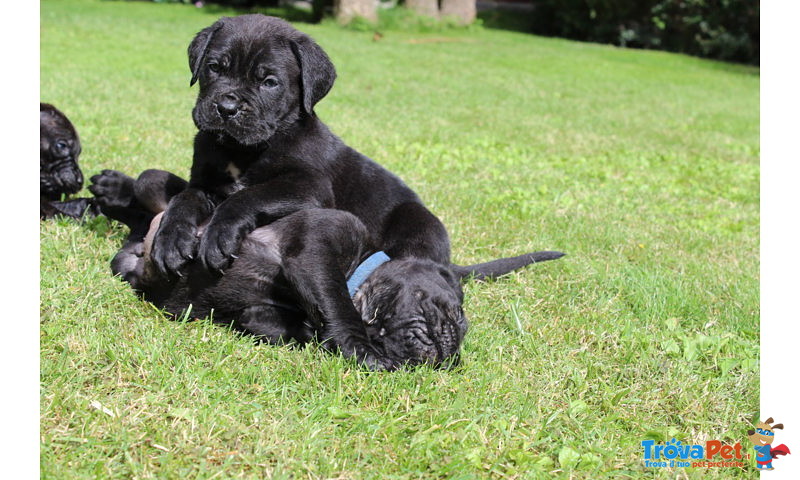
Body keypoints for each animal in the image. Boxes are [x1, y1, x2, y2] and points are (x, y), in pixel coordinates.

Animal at [90, 170, 564, 372]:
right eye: (448, 314)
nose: (444, 352)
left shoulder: (270, 308)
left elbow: (274, 319)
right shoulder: (319, 246)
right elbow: (336, 303)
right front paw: (361, 350)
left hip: (125, 262)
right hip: (156, 188)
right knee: (157, 191)